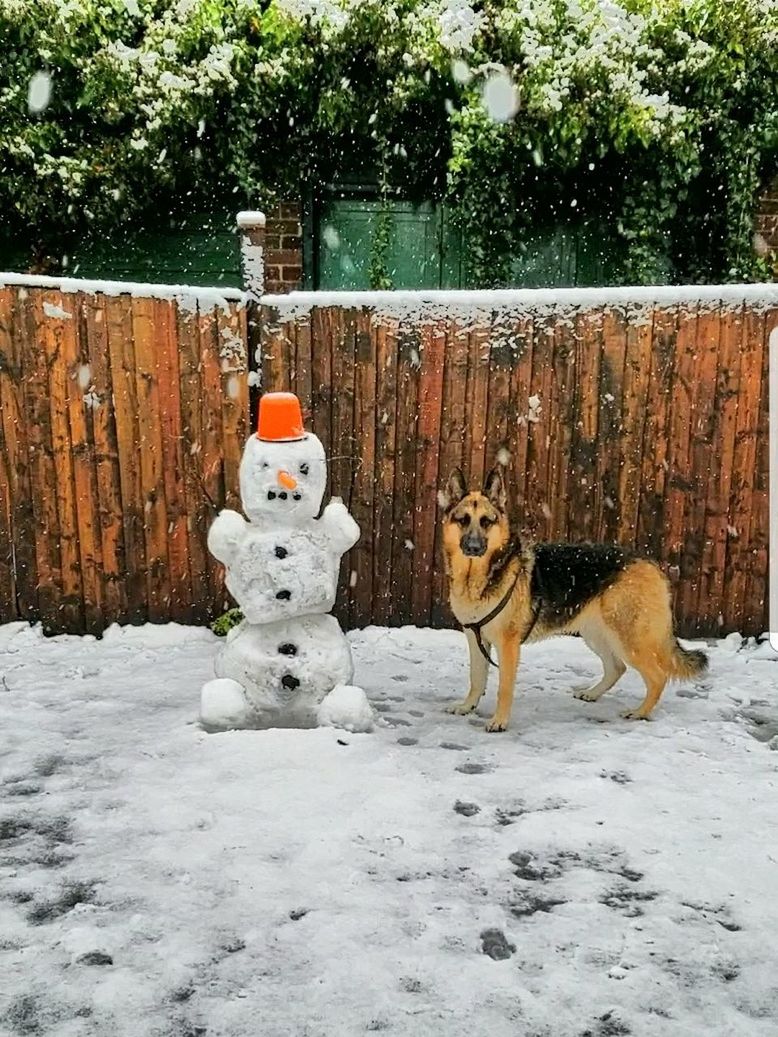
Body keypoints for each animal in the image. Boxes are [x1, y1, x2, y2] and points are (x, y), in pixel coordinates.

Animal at [441, 466, 709, 734]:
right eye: (463, 520)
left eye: (487, 521)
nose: (473, 547)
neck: (479, 575)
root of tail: (651, 565)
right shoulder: (475, 639)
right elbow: (476, 678)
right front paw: (467, 706)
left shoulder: (508, 645)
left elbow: (503, 688)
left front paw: (499, 721)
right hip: (596, 635)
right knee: (617, 667)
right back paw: (593, 694)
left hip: (629, 640)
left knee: (657, 676)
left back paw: (639, 712)